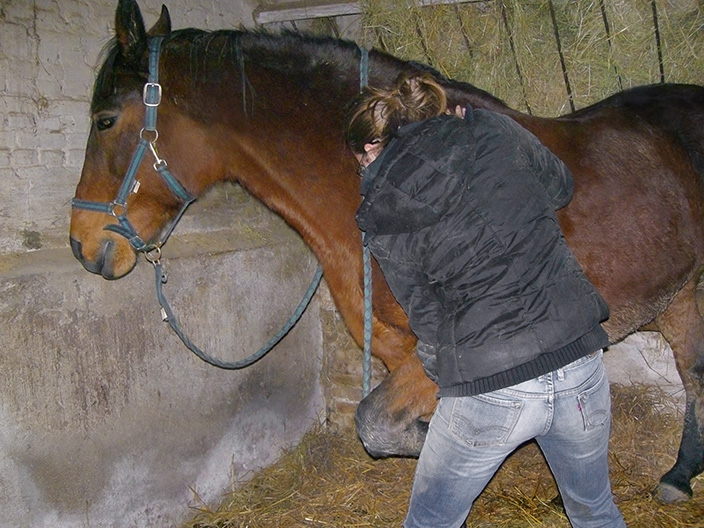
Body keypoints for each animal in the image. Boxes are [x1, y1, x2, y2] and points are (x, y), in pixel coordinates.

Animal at [69, 0, 704, 506]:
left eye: (105, 120)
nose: (83, 243)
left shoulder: (444, 355)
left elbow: (379, 424)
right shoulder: (400, 351)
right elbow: (393, 427)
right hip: (678, 295)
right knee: (693, 371)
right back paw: (678, 475)